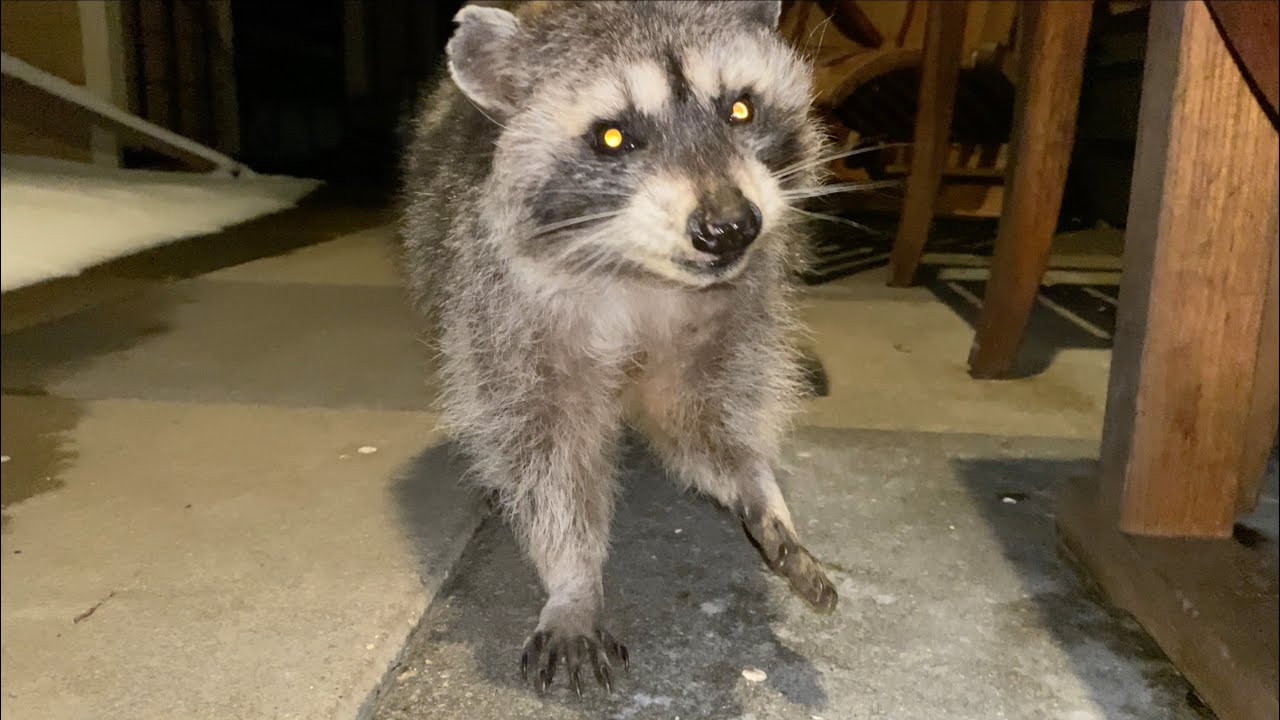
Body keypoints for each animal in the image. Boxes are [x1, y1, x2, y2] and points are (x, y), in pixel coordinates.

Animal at [401, 0, 838, 695]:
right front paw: (573, 581)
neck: (638, 274)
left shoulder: (735, 309)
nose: (730, 227)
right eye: (613, 137)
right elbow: (547, 456)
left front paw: (758, 487)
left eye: (741, 109)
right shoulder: (504, 314)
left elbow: (703, 422)